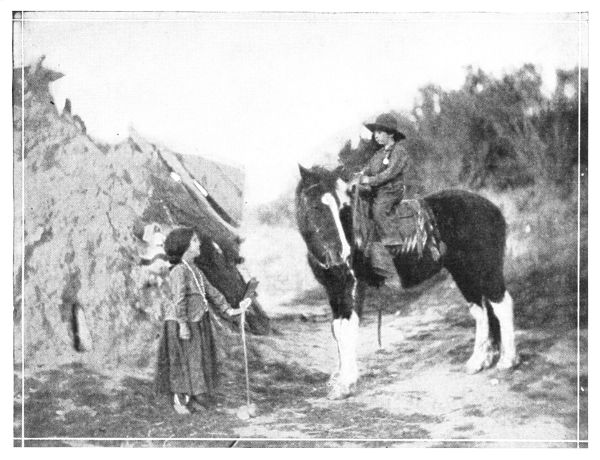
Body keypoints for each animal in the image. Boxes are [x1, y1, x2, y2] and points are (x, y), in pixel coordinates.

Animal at [298, 165, 516, 398]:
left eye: (341, 207)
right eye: (315, 207)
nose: (342, 255)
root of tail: (493, 209)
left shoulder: (354, 286)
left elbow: (348, 328)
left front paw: (347, 383)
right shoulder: (333, 290)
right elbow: (337, 329)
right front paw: (338, 380)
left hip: (486, 270)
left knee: (502, 306)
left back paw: (507, 361)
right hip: (464, 273)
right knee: (482, 310)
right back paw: (479, 361)